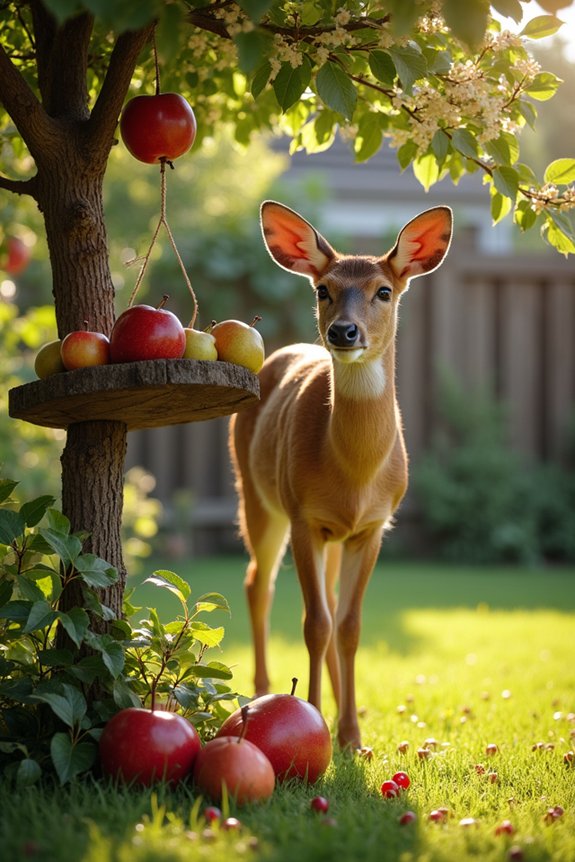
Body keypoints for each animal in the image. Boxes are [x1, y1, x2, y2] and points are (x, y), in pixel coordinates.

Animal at [229, 201, 453, 750]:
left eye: (384, 291)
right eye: (322, 290)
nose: (344, 332)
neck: (354, 473)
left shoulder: (373, 526)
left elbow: (349, 626)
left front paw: (351, 733)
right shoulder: (304, 515)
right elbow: (314, 624)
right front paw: (313, 716)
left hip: (329, 535)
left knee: (328, 603)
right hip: (258, 495)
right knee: (258, 583)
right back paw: (261, 689)